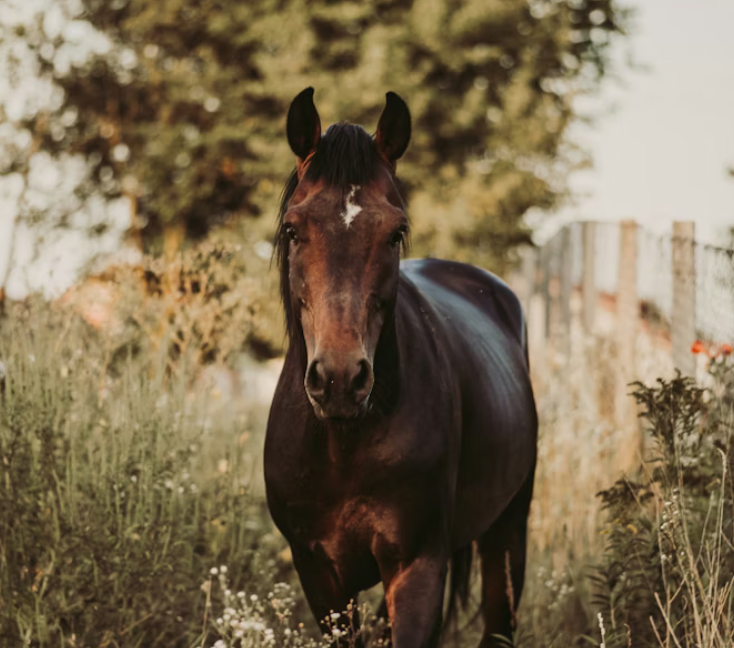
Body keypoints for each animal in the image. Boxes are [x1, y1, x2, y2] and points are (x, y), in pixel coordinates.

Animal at [264, 88, 537, 648]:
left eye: (396, 233)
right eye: (292, 229)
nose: (340, 380)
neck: (341, 446)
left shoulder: (417, 568)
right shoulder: (319, 576)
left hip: (508, 532)